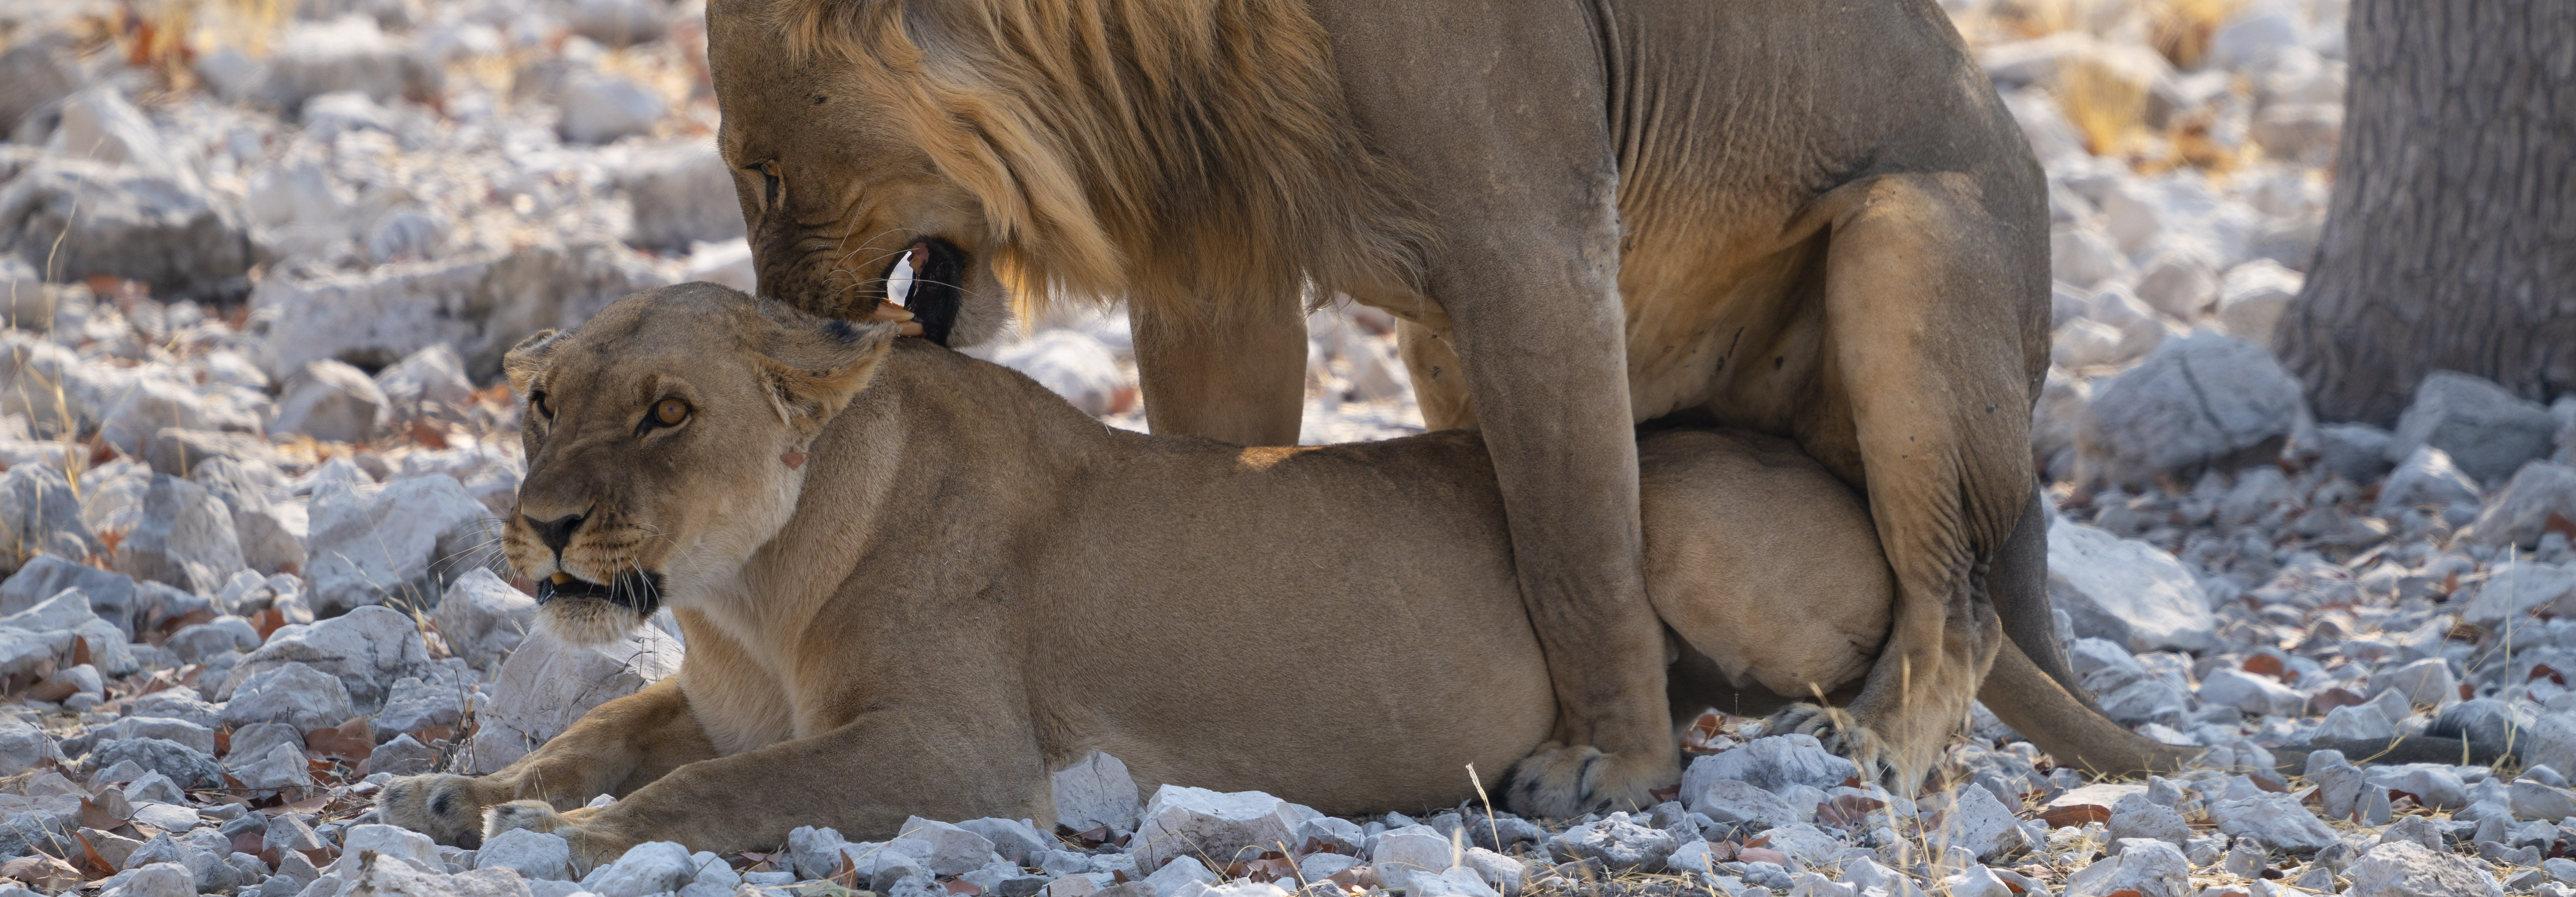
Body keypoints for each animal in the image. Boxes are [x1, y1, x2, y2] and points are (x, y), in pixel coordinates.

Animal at [374, 286, 2483, 855]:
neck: (747, 585)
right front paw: (471, 790)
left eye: (664, 415)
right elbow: (605, 738)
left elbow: (722, 792)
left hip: (1680, 515)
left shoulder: (958, 755)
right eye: (543, 400)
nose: (543, 526)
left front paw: (571, 840)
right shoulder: (702, 683)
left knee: (1863, 678)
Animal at [711, 0, 2071, 804]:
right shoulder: (1218, 255)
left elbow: (1579, 546)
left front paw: (1613, 765)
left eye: (763, 173)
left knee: (1954, 598)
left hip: (1902, 236)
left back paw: (1877, 742)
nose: (783, 331)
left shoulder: (1532, 239)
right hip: (1437, 344)